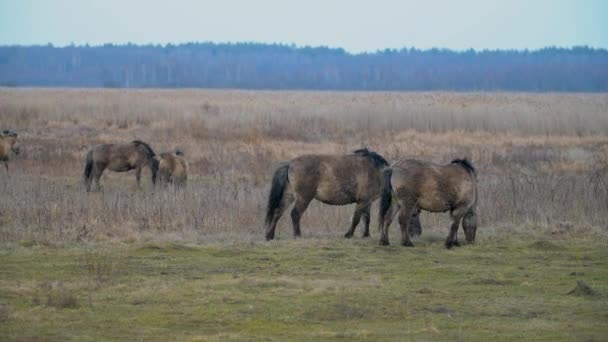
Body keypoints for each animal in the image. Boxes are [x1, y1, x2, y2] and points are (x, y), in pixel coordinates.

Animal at [264, 148, 420, 240]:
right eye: (414, 214)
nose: (418, 233)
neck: (378, 172)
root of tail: (290, 163)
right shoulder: (362, 201)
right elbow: (356, 219)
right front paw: (348, 234)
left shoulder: (367, 202)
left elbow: (366, 219)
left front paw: (366, 235)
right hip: (303, 198)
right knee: (295, 214)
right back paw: (297, 235)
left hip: (289, 195)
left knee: (277, 212)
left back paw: (270, 235)